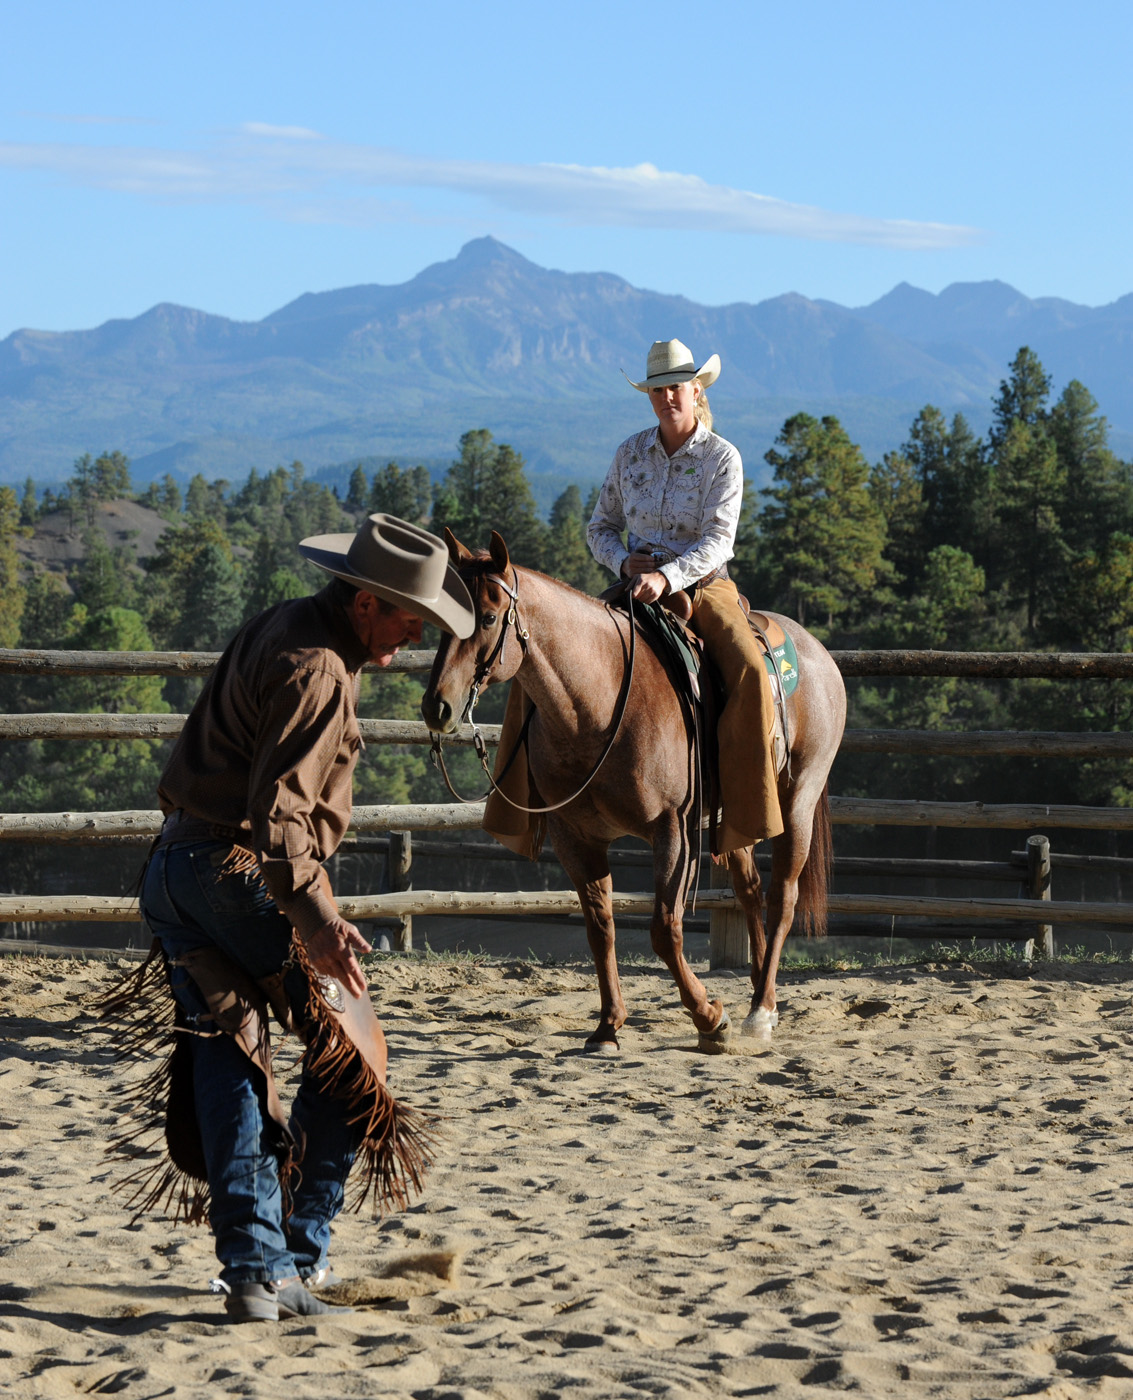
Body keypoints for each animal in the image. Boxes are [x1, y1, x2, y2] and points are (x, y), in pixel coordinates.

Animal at [420, 534, 845, 1052]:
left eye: (485, 617)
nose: (437, 707)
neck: (596, 706)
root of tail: (815, 648)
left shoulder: (672, 833)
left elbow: (665, 929)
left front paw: (709, 1018)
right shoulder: (574, 836)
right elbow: (600, 928)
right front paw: (608, 1026)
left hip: (797, 797)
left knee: (784, 895)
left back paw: (760, 1011)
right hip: (735, 816)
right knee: (750, 890)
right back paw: (761, 993)